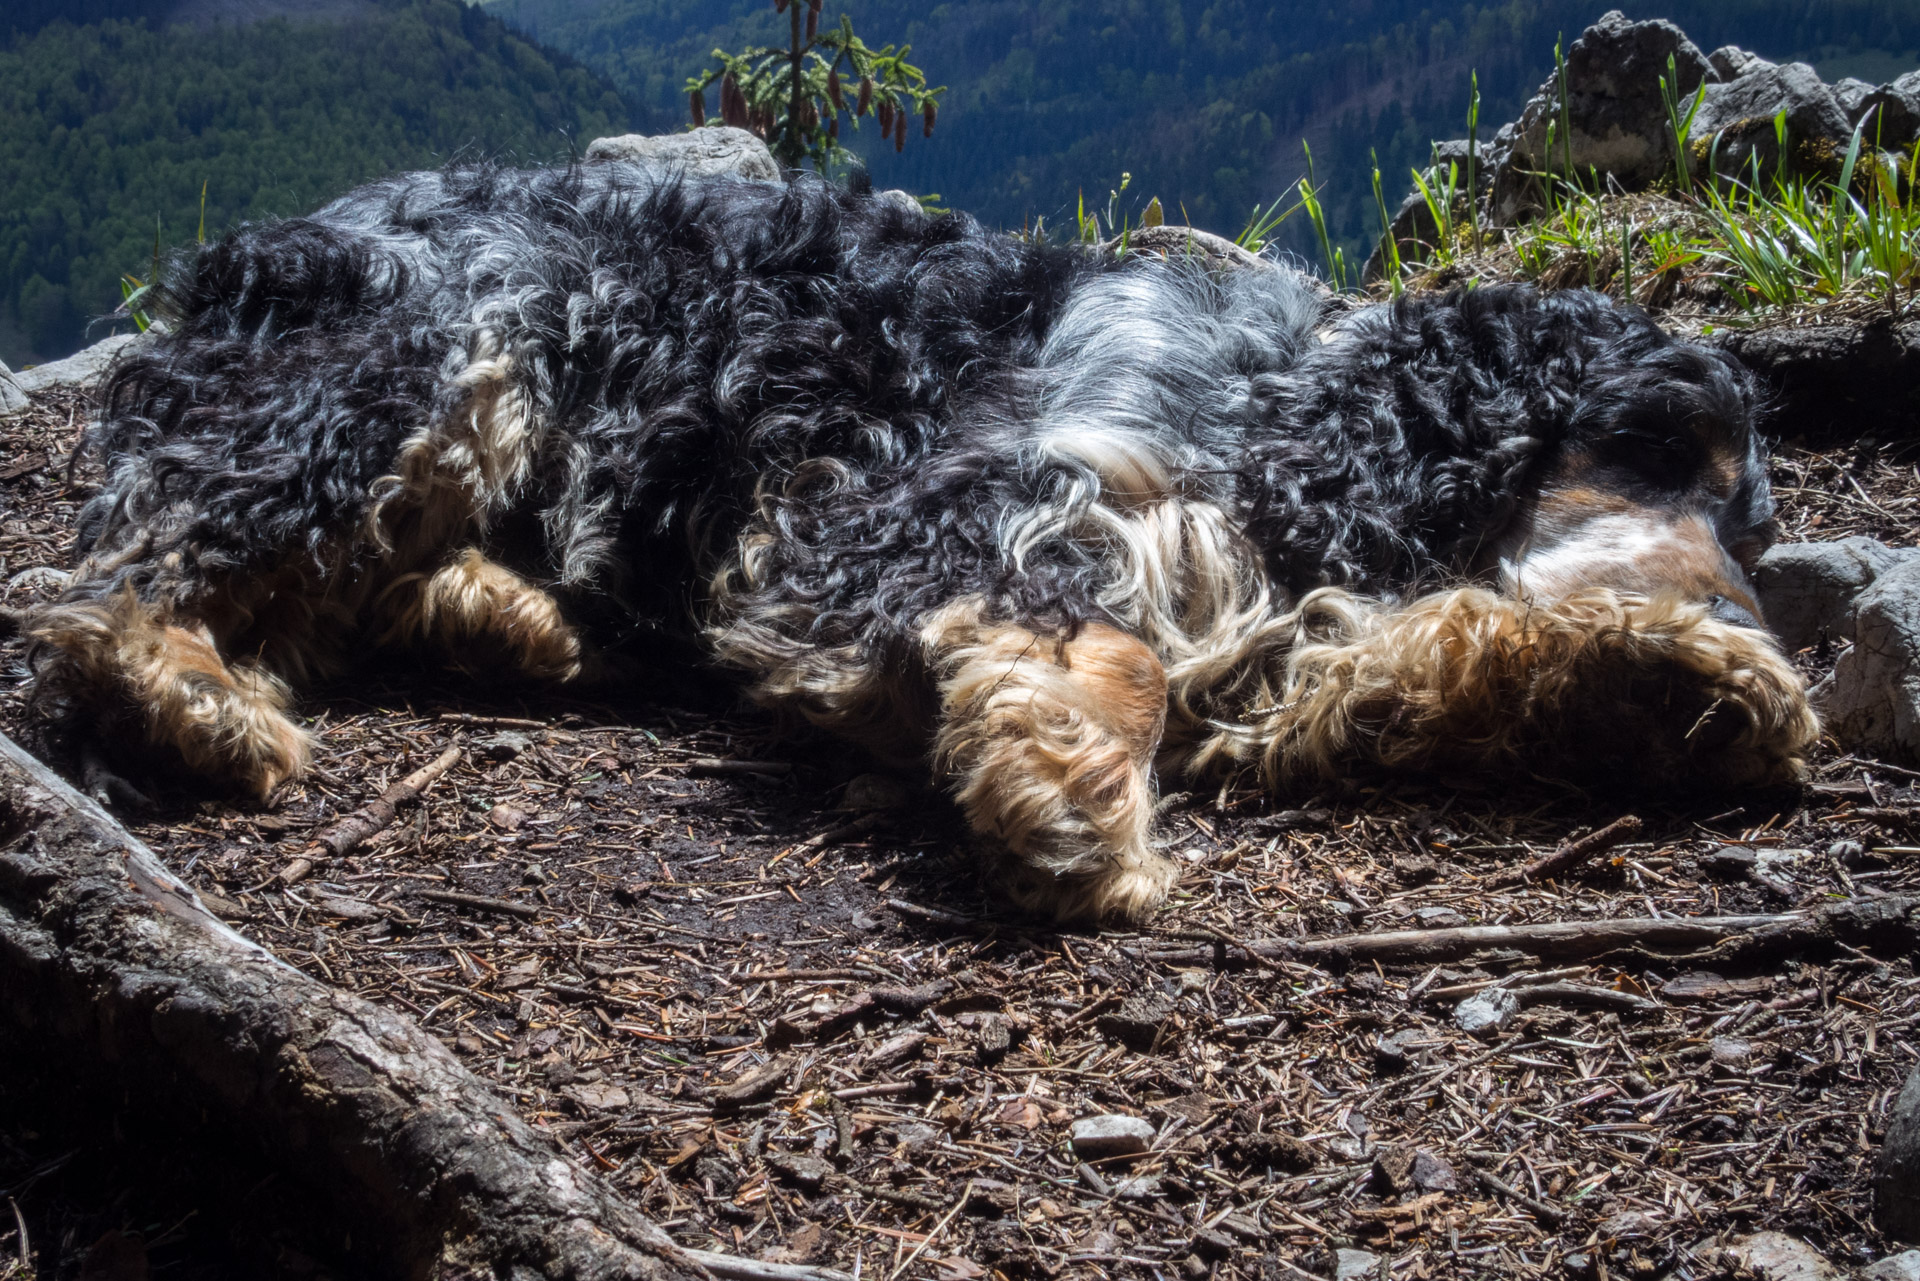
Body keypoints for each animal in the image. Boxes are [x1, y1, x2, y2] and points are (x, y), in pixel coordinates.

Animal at [22, 160, 1812, 921]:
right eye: (1656, 446)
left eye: (1751, 514)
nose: (1750, 608)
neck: (1280, 397)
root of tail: (258, 246)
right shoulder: (936, 508)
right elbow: (1104, 645)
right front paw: (1068, 792)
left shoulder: (1275, 634)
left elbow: (1426, 648)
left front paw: (1677, 691)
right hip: (447, 345)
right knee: (129, 557)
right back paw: (200, 695)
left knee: (354, 571)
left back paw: (512, 617)